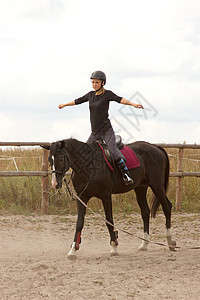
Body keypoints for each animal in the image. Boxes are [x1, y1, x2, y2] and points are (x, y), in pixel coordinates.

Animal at [43, 137, 175, 258]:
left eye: (61, 158)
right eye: (50, 160)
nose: (55, 184)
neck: (89, 166)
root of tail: (155, 147)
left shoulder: (106, 196)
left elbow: (109, 220)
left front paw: (114, 247)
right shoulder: (82, 198)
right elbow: (79, 223)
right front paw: (73, 250)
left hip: (157, 186)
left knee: (167, 208)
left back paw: (170, 242)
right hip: (140, 188)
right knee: (145, 212)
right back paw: (144, 244)